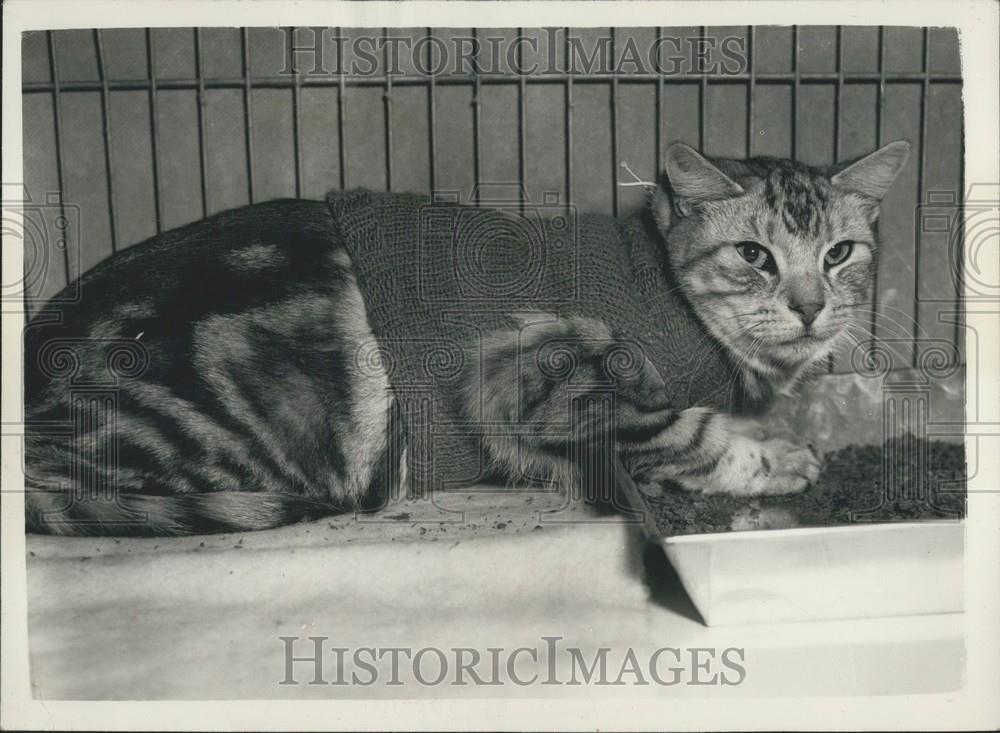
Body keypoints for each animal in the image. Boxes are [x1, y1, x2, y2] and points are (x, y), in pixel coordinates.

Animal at [23, 140, 912, 536]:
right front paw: (780, 455)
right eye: (754, 255)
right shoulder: (532, 372)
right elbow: (683, 429)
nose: (810, 306)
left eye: (840, 252)